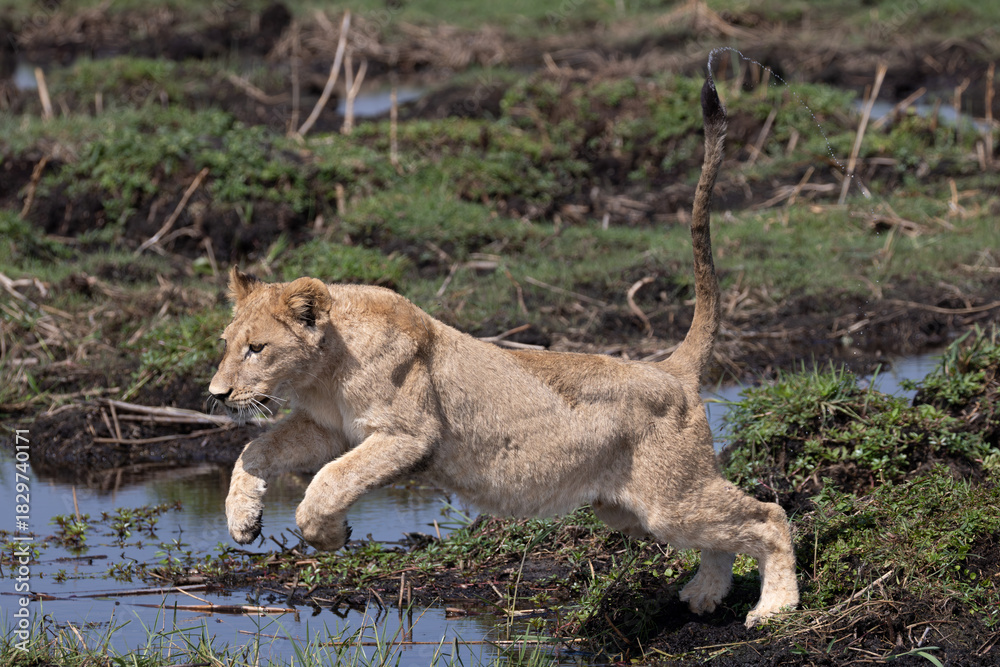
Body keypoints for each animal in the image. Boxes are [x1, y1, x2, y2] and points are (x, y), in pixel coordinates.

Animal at [209, 78, 799, 627]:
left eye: (258, 349)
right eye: (228, 346)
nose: (217, 394)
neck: (324, 372)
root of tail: (671, 370)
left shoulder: (407, 434)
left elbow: (330, 479)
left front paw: (327, 534)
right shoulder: (327, 427)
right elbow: (255, 450)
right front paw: (243, 520)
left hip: (669, 499)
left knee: (768, 515)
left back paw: (776, 608)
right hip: (631, 510)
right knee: (723, 536)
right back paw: (705, 594)